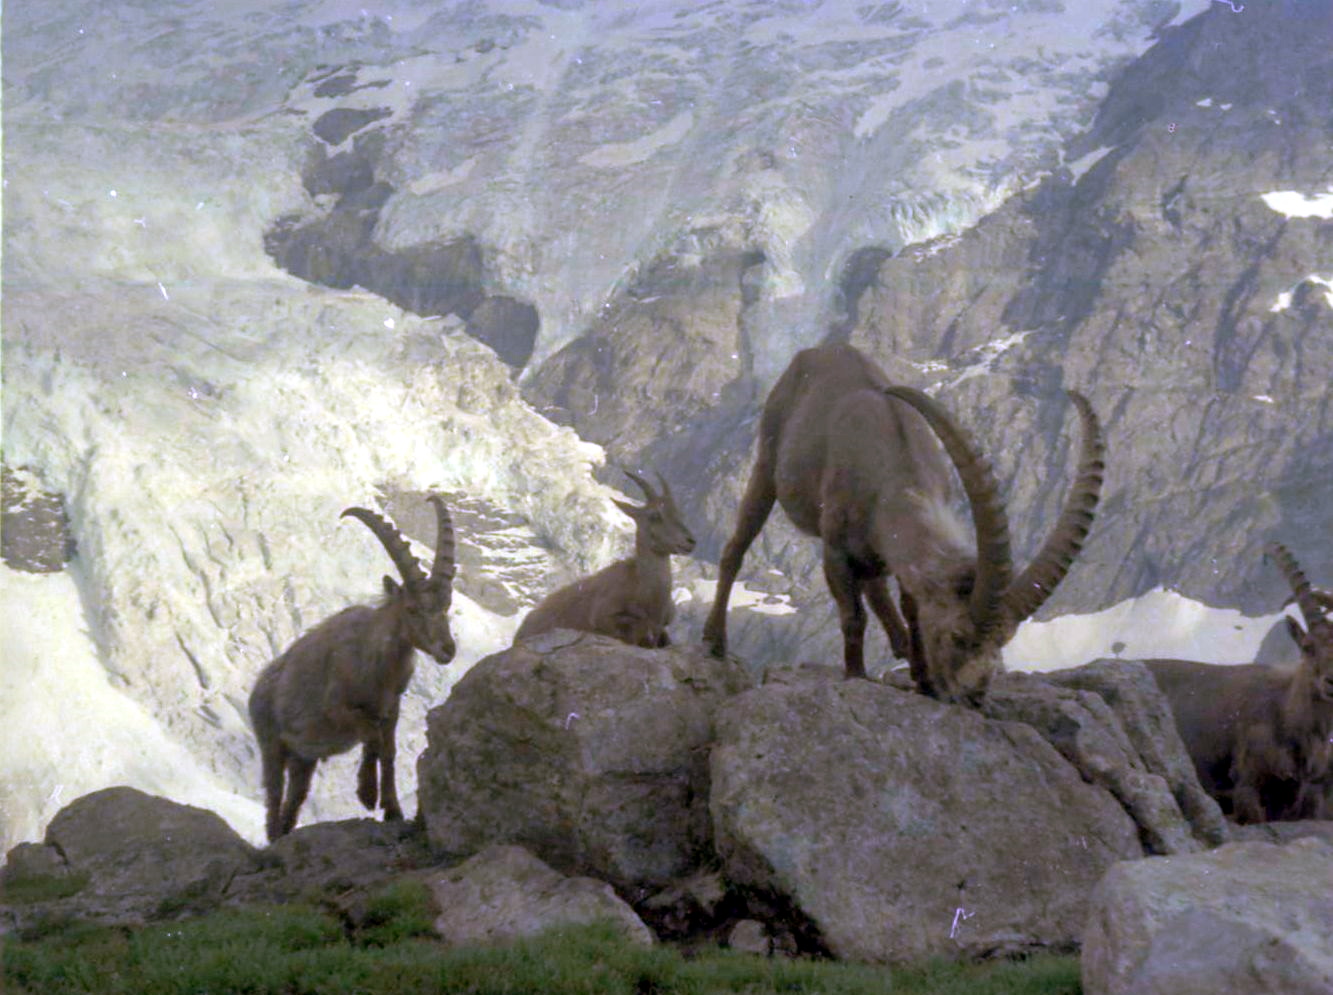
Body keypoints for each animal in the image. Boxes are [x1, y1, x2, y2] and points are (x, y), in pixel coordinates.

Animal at [247, 493, 455, 837]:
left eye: (447, 606)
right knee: (273, 795)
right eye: (412, 609)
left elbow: (388, 751)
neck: (378, 667)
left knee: (295, 800)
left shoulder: (391, 710)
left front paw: (393, 809)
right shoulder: (337, 709)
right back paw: (273, 836)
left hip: (304, 759)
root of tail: (257, 689)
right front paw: (367, 793)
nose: (448, 650)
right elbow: (370, 735)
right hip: (271, 744)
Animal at [698, 344, 1103, 704]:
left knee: (876, 584)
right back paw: (714, 640)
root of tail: (817, 350)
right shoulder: (835, 550)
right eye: (958, 636)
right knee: (735, 549)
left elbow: (912, 610)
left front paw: (923, 680)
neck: (894, 472)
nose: (974, 698)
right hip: (766, 464)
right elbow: (853, 616)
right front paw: (856, 675)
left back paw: (901, 645)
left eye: (1002, 643)